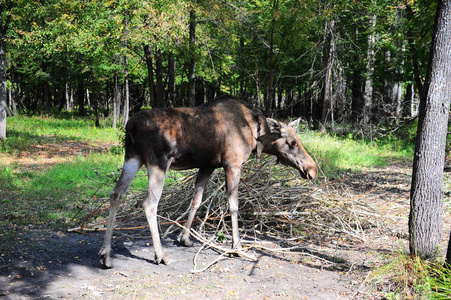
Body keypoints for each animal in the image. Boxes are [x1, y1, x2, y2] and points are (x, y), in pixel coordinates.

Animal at [99, 95, 318, 268]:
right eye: (292, 142)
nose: (312, 169)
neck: (256, 136)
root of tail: (130, 125)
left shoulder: (207, 165)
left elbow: (196, 200)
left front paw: (185, 238)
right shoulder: (233, 164)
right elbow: (233, 206)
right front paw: (237, 246)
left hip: (133, 157)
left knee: (116, 194)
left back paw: (105, 254)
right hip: (158, 162)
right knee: (149, 204)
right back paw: (160, 255)